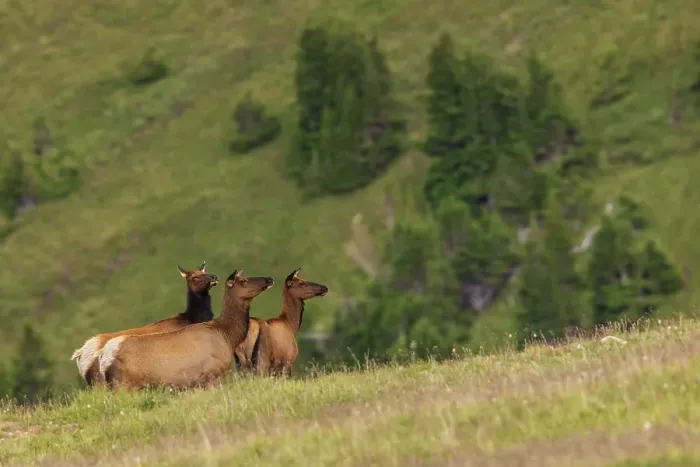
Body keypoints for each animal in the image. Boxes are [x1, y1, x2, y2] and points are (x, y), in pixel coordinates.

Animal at [99, 269, 274, 391]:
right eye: (244, 280)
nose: (269, 278)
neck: (227, 335)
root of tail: (104, 359)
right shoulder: (211, 375)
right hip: (124, 386)